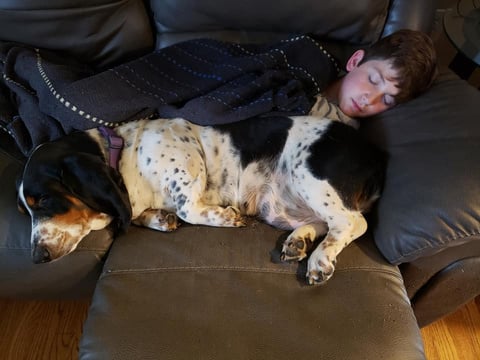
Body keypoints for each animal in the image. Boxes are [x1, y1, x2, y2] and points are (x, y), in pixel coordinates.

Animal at [18, 114, 384, 284]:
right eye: (26, 210)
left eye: (44, 200)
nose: (35, 257)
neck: (123, 155)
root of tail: (374, 154)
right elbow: (144, 214)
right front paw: (158, 218)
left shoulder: (189, 164)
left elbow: (189, 209)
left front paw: (227, 217)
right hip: (281, 206)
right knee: (328, 222)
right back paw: (299, 241)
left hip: (308, 175)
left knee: (352, 222)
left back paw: (320, 259)